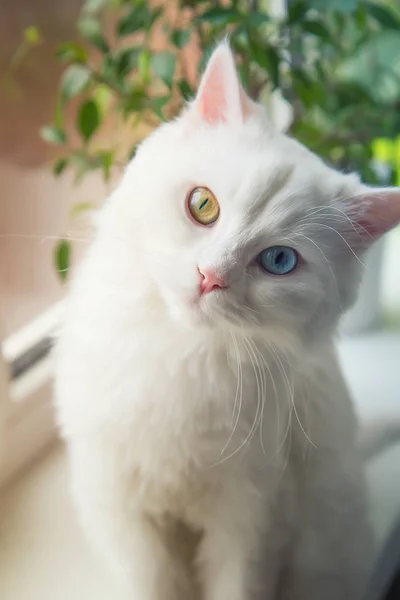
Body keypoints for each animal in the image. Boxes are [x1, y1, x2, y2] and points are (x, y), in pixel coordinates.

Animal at [54, 43, 400, 600]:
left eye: (279, 261)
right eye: (203, 205)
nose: (210, 276)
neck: (180, 355)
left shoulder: (251, 518)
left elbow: (236, 586)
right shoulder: (124, 509)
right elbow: (155, 584)